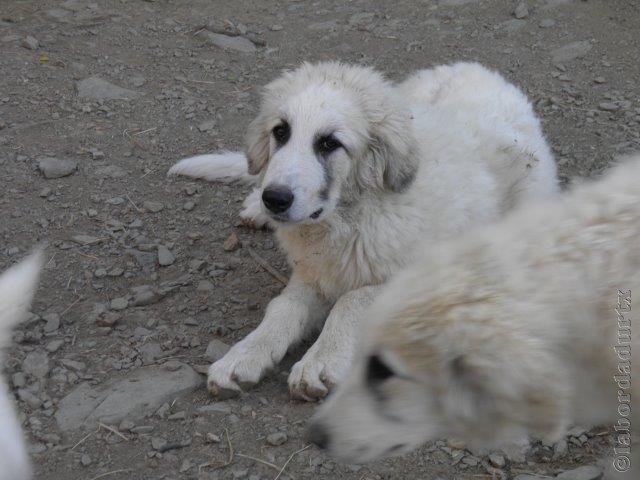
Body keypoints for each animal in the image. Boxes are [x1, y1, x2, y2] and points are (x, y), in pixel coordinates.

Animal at [168, 62, 556, 400]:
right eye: (280, 132)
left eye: (329, 143)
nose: (274, 199)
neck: (347, 217)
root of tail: (475, 67)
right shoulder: (314, 272)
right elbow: (283, 307)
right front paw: (245, 353)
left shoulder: (419, 278)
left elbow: (352, 299)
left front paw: (320, 360)